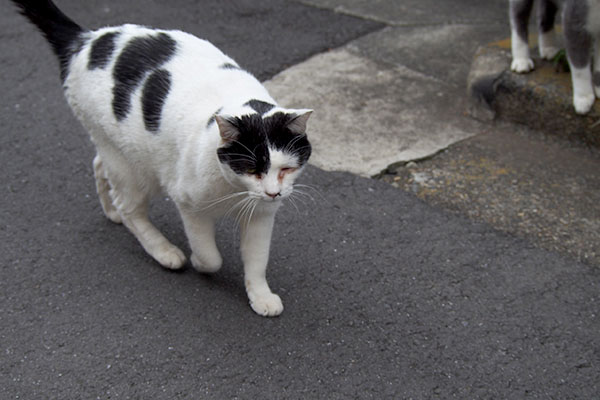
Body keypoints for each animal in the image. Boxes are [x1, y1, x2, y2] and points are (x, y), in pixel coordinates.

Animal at [10, 0, 314, 318]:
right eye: (251, 168)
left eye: (286, 169)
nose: (273, 192)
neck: (234, 189)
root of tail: (86, 39)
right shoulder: (190, 206)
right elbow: (210, 256)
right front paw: (197, 262)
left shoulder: (262, 216)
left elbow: (257, 261)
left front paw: (260, 296)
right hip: (136, 168)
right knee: (129, 207)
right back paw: (163, 250)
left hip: (120, 149)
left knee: (99, 165)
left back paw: (111, 211)